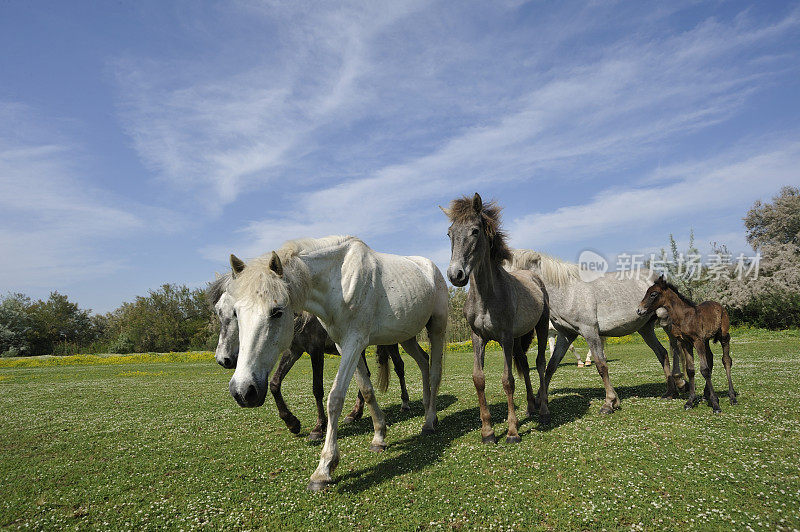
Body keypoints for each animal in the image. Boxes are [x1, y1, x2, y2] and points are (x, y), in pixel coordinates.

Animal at [228, 235, 446, 492]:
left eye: (277, 311)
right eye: (236, 313)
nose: (243, 391)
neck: (340, 281)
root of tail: (431, 268)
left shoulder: (354, 342)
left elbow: (335, 398)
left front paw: (324, 469)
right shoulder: (345, 345)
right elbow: (367, 390)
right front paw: (379, 437)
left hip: (437, 328)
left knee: (434, 371)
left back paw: (429, 422)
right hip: (406, 336)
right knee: (423, 362)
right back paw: (427, 409)